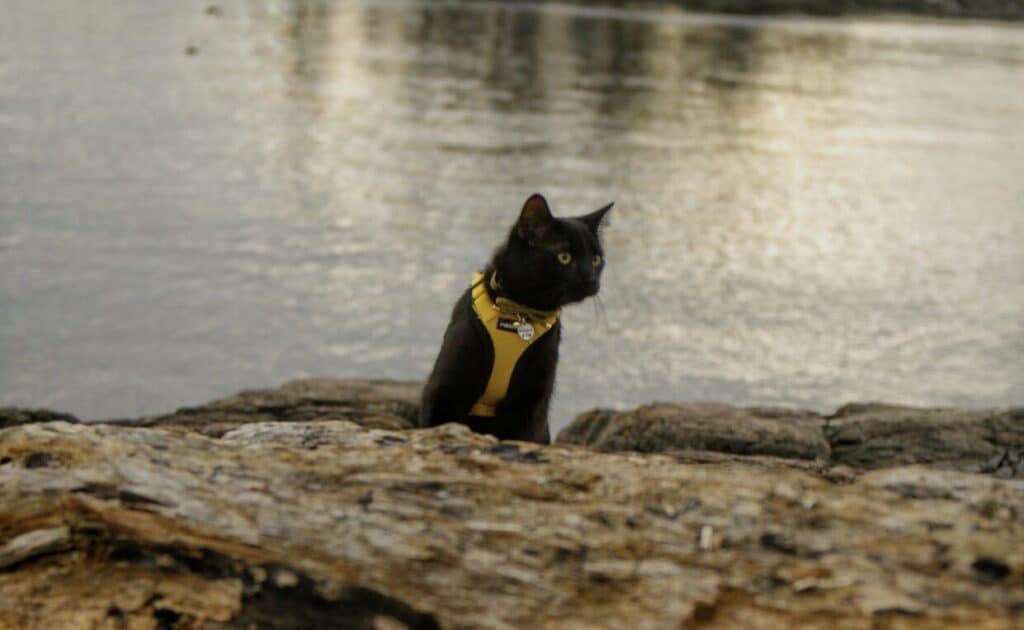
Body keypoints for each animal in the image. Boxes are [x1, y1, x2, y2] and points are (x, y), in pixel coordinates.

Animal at [419, 192, 610, 444]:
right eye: (564, 257)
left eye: (597, 260)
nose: (591, 280)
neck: (520, 313)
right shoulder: (446, 386)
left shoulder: (530, 400)